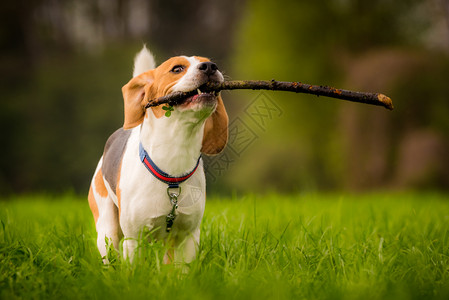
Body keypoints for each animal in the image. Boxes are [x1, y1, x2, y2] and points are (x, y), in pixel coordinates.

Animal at [87, 45, 228, 264]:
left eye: (211, 63)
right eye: (177, 69)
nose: (210, 66)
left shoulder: (187, 237)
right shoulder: (133, 239)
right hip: (107, 229)